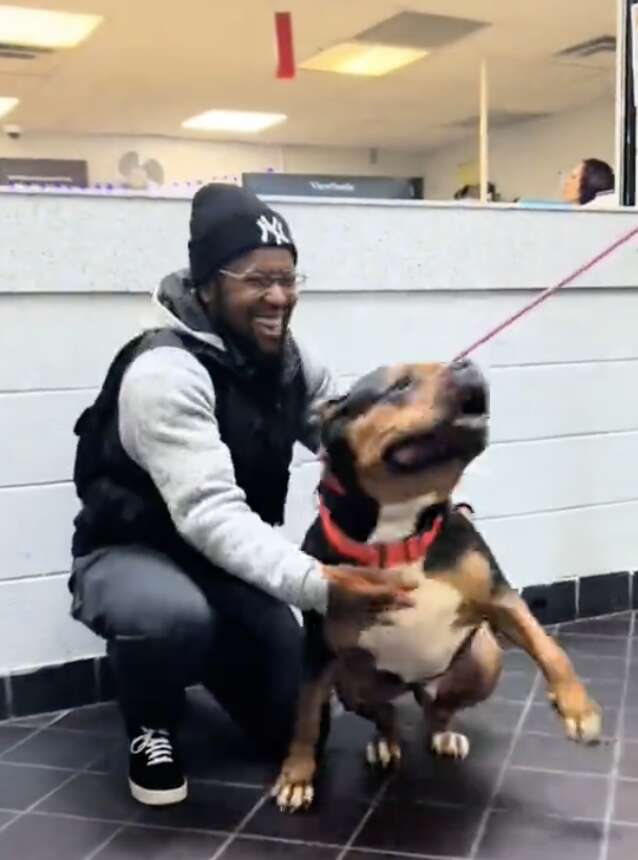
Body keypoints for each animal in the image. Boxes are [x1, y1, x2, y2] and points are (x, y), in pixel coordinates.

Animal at [272, 358, 604, 812]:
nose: (467, 364)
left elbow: (550, 649)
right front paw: (297, 775)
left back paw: (442, 732)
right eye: (399, 385)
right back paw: (385, 742)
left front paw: (578, 708)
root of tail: (413, 683)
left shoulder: (501, 599)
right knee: (386, 713)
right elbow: (305, 714)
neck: (401, 534)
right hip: (350, 682)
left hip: (484, 658)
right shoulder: (320, 647)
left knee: (439, 708)